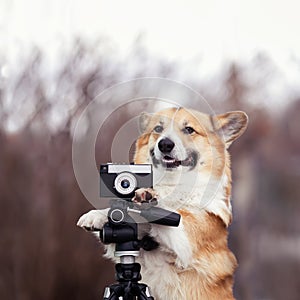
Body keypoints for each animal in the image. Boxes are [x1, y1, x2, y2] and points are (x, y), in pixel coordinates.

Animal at [77, 106, 248, 298]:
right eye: (158, 129)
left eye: (189, 129)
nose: (165, 144)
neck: (171, 186)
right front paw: (96, 216)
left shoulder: (188, 236)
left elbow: (175, 217)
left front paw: (147, 197)